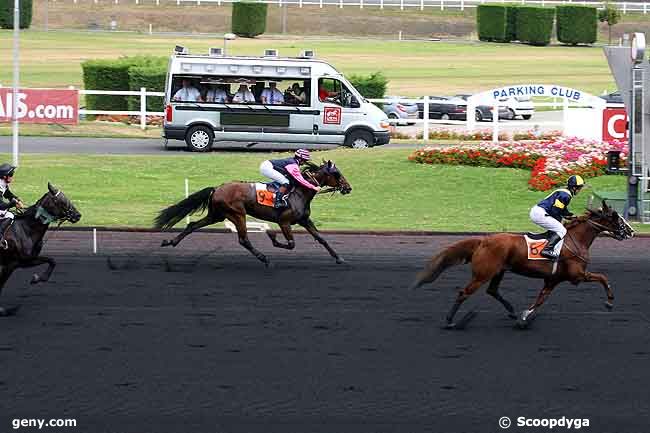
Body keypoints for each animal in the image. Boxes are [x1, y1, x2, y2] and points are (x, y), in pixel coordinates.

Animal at [0, 181, 82, 316]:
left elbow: (51, 261)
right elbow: (1, 284)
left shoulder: (26, 261)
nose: (78, 215)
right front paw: (2, 309)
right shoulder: (11, 264)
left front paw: (37, 278)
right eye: (61, 200)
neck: (26, 228)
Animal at [153, 160, 350, 264]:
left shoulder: (304, 220)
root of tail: (217, 188)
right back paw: (264, 258)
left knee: (193, 225)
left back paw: (170, 242)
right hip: (237, 213)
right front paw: (272, 236)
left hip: (217, 215)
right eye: (337, 174)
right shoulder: (284, 222)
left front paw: (339, 258)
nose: (349, 188)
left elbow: (321, 238)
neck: (300, 192)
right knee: (243, 239)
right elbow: (291, 244)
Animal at [410, 201, 632, 330]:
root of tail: (483, 240)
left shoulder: (553, 280)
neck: (574, 240)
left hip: (498, 271)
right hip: (483, 274)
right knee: (464, 293)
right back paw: (451, 321)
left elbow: (540, 299)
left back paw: (511, 311)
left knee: (492, 291)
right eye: (616, 218)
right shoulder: (577, 275)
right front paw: (609, 302)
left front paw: (525, 317)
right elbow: (603, 277)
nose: (629, 231)